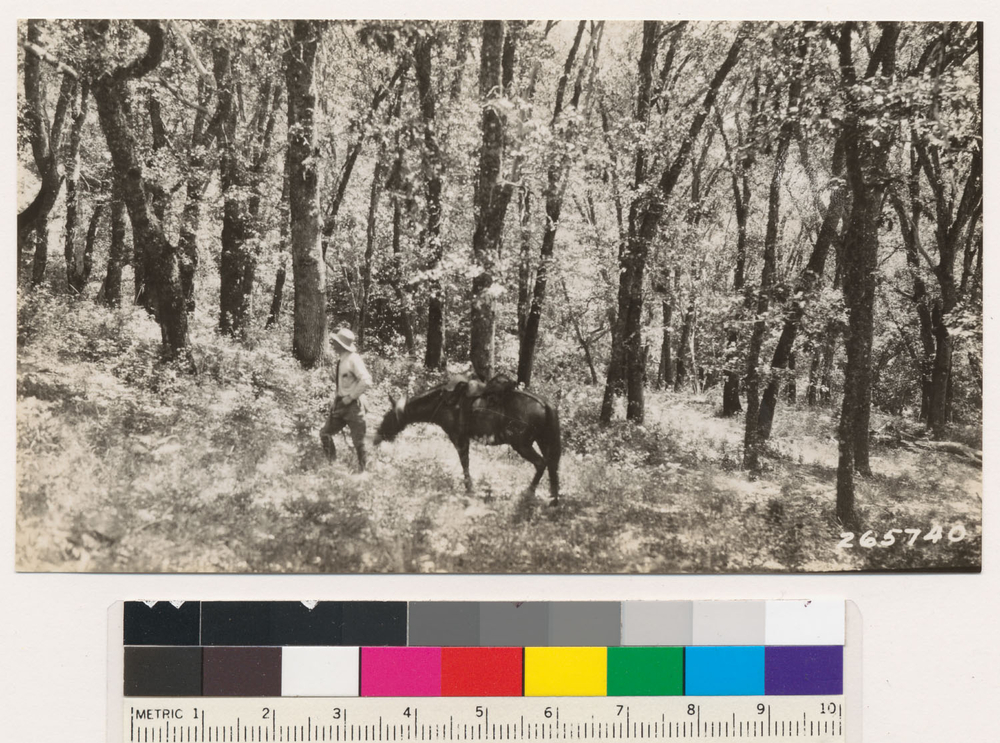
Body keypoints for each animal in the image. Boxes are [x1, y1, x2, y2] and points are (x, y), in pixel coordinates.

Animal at [373, 380, 562, 504]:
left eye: (388, 417)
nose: (376, 437)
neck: (443, 403)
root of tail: (545, 404)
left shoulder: (459, 437)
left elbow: (465, 463)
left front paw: (469, 489)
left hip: (522, 445)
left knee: (541, 463)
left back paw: (529, 493)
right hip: (543, 442)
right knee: (552, 466)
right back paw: (553, 498)